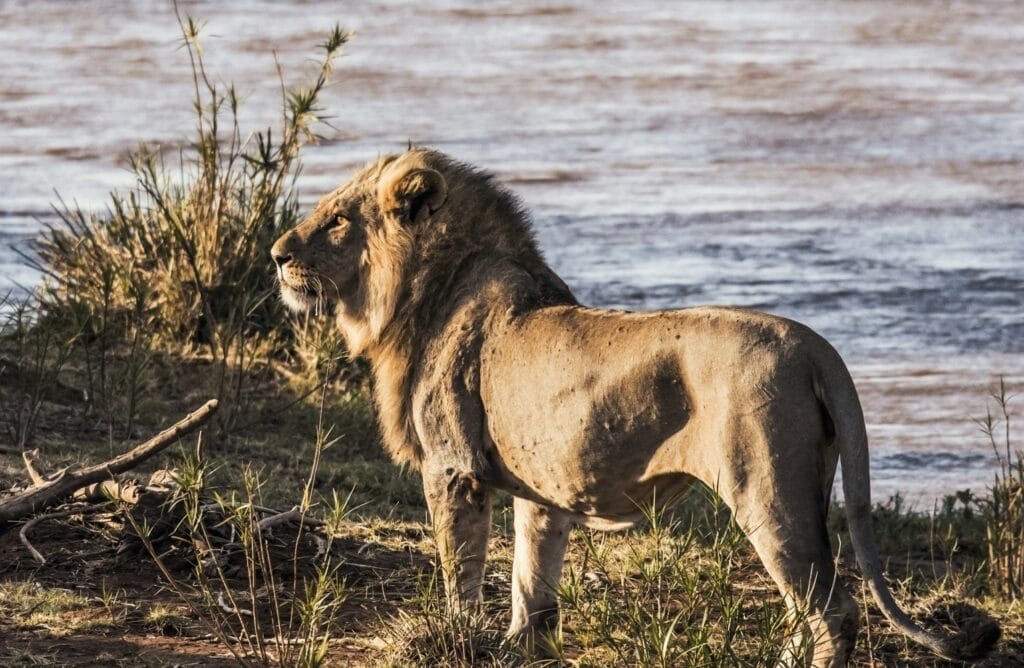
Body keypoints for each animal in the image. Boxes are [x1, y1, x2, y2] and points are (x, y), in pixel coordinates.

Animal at [271, 149, 999, 666]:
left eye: (336, 219)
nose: (276, 254)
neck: (423, 292)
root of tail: (815, 346)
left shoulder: (452, 469)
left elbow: (461, 573)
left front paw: (457, 639)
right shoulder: (540, 489)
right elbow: (533, 581)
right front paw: (520, 648)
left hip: (769, 491)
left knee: (832, 611)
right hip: (806, 485)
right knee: (810, 610)